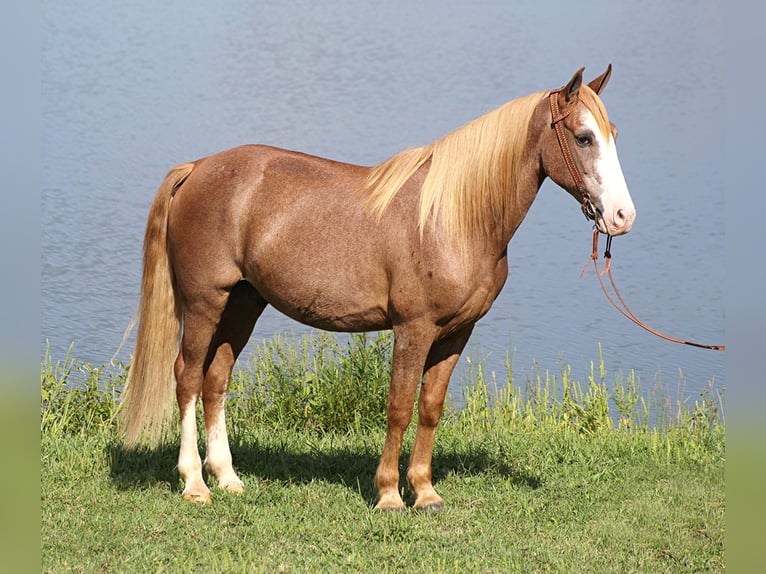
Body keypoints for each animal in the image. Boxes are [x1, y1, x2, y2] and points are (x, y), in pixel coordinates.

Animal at [118, 67, 636, 512]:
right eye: (583, 136)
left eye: (613, 133)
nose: (622, 216)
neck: (451, 219)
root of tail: (198, 167)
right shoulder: (413, 329)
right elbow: (399, 407)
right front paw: (389, 494)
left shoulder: (455, 333)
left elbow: (429, 407)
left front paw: (425, 492)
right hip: (205, 303)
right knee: (187, 377)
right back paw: (194, 483)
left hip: (244, 303)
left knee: (215, 379)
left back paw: (228, 478)